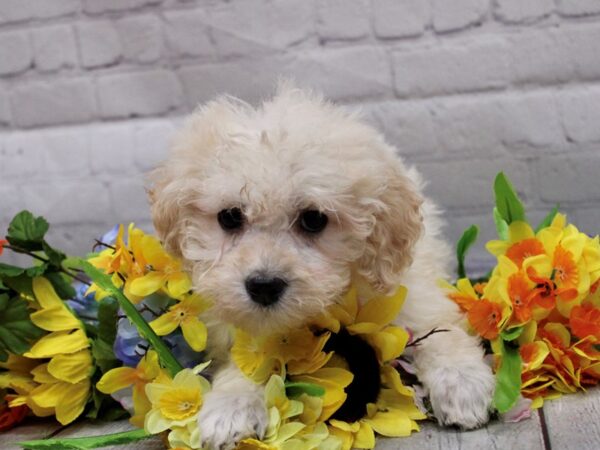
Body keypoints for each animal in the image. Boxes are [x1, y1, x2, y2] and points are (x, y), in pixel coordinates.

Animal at [148, 85, 494, 450]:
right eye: (229, 217)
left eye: (314, 219)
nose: (264, 286)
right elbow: (246, 361)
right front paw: (230, 408)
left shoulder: (410, 292)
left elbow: (439, 330)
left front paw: (462, 384)